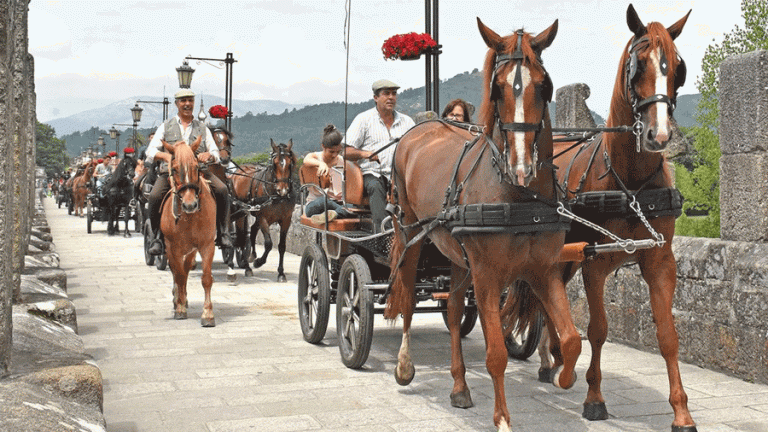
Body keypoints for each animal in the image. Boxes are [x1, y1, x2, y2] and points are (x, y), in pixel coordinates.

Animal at [160, 138, 218, 328]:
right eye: (174, 168)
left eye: (196, 167)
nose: (190, 205)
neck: (190, 217)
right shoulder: (173, 248)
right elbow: (178, 275)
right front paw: (179, 309)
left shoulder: (207, 245)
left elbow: (206, 278)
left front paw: (208, 314)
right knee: (177, 272)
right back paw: (178, 299)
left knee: (185, 270)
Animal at [226, 138, 296, 280]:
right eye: (274, 164)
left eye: (290, 163)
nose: (283, 190)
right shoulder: (263, 217)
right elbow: (268, 244)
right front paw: (258, 262)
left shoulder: (286, 219)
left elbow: (282, 246)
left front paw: (281, 273)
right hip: (242, 212)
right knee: (241, 237)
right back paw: (247, 265)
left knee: (250, 232)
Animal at [388, 18, 580, 430]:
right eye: (497, 88)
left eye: (544, 85)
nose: (522, 167)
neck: (519, 200)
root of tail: (419, 130)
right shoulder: (488, 274)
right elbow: (495, 354)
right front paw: (503, 418)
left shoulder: (543, 270)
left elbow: (572, 339)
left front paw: (563, 375)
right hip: (412, 233)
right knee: (408, 298)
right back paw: (405, 366)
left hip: (459, 256)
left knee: (454, 308)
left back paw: (460, 386)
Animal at [544, 5, 696, 430]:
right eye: (637, 65)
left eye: (678, 67)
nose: (659, 136)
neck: (629, 182)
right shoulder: (595, 263)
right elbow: (597, 330)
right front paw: (594, 398)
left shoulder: (660, 261)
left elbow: (669, 336)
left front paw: (681, 411)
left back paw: (552, 360)